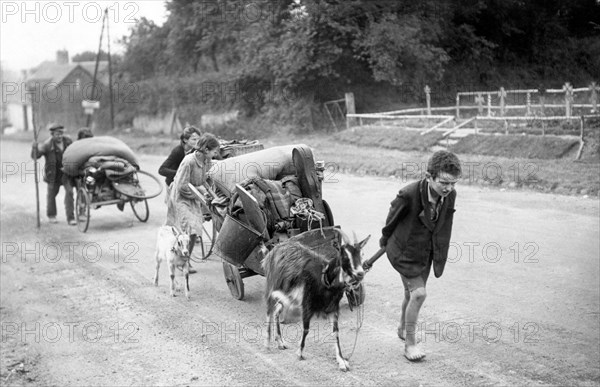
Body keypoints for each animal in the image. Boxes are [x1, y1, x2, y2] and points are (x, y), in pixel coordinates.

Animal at [264, 230, 370, 372]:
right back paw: (267, 344)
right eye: (344, 256)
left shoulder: (332, 309)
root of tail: (275, 249)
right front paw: (300, 353)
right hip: (272, 287)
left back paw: (280, 342)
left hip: (286, 296)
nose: (360, 274)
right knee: (269, 310)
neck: (324, 280)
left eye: (361, 255)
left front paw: (342, 361)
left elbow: (336, 332)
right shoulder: (306, 304)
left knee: (276, 311)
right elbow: (306, 329)